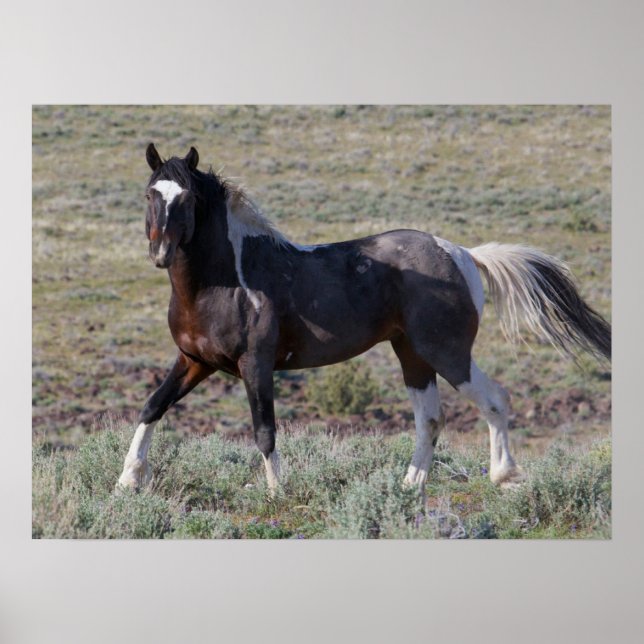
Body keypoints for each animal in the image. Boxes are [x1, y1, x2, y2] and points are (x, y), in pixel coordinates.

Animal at [117, 143, 611, 495]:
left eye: (187, 198)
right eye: (149, 194)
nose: (161, 252)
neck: (223, 282)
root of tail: (463, 253)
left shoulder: (255, 365)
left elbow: (264, 431)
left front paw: (277, 494)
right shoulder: (194, 361)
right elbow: (151, 407)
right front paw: (127, 481)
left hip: (446, 351)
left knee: (494, 399)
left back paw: (503, 476)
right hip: (412, 355)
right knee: (431, 419)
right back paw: (409, 487)